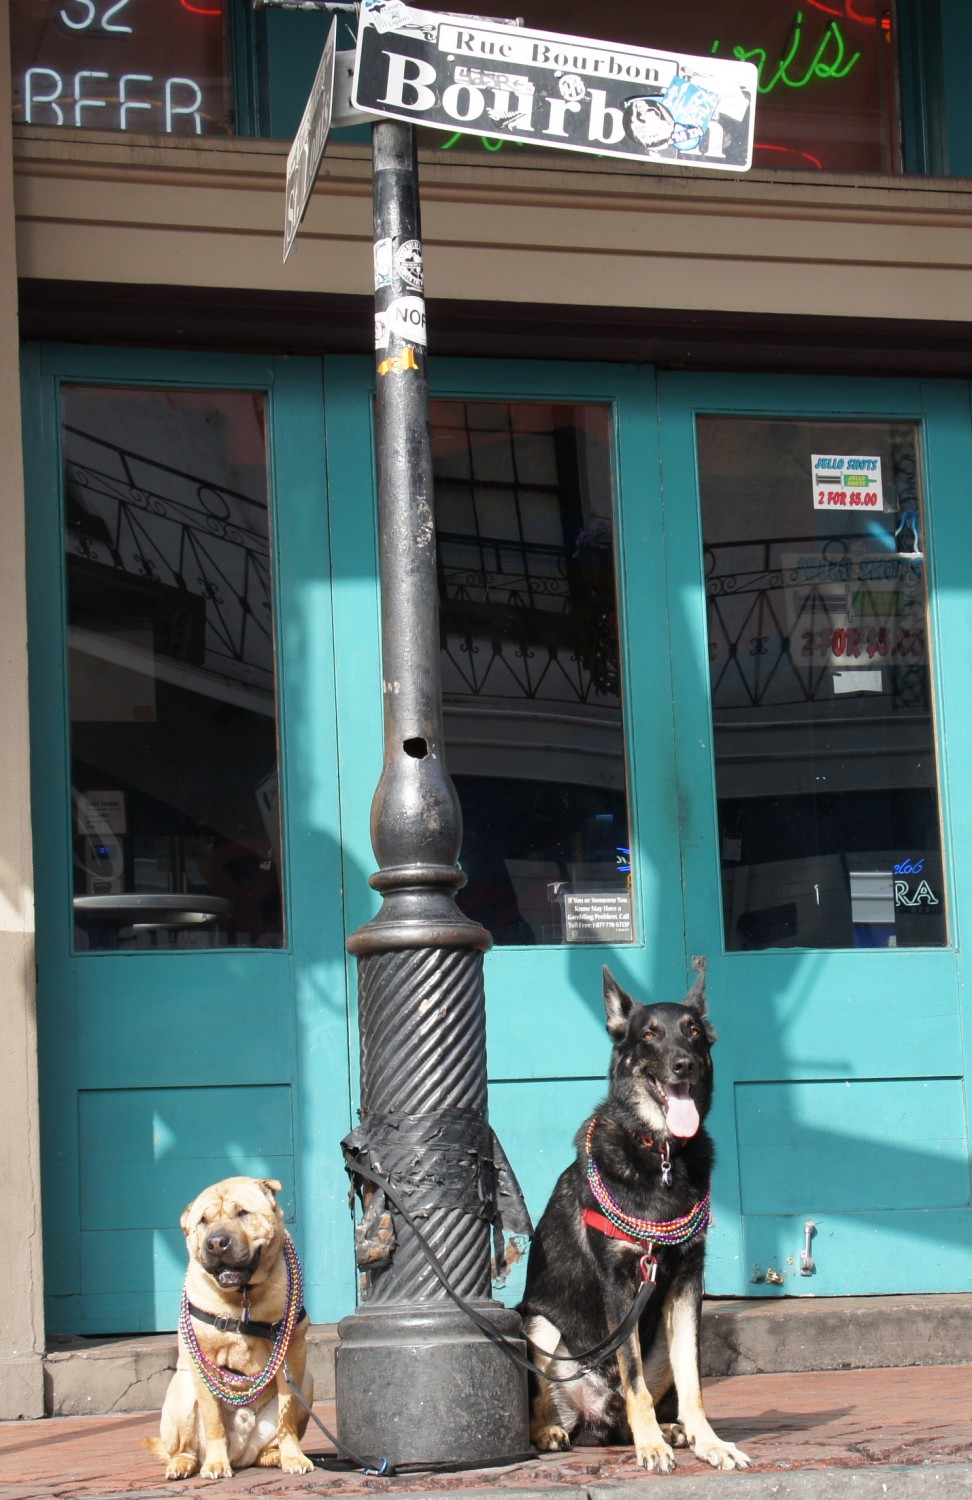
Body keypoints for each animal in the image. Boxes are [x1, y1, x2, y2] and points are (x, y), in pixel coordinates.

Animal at [146, 1170, 313, 1476]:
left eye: (242, 1213)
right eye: (203, 1221)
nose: (216, 1242)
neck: (243, 1296)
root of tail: (240, 1454)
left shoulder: (294, 1354)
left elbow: (286, 1415)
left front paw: (293, 1457)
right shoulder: (202, 1364)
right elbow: (213, 1420)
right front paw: (215, 1464)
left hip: (307, 1381)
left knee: (268, 1442)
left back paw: (274, 1455)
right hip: (181, 1391)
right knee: (184, 1448)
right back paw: (184, 1464)